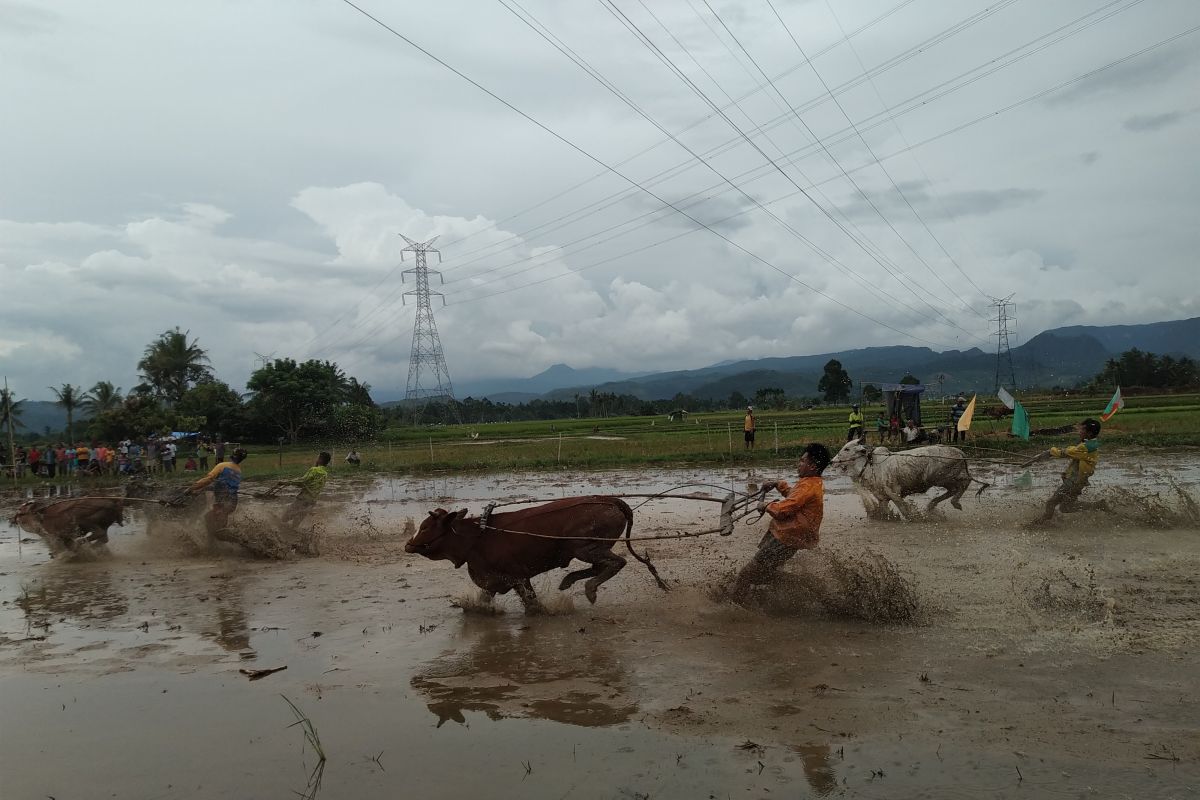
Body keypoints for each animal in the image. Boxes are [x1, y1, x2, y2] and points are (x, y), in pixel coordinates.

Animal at [408, 494, 672, 614]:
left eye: (426, 527)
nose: (408, 545)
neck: (477, 537)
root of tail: (610, 499)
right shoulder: (493, 582)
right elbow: (482, 601)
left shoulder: (517, 578)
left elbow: (532, 605)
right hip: (589, 549)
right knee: (602, 566)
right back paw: (569, 581)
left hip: (586, 547)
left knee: (617, 563)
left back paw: (589, 589)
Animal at [830, 441, 988, 522]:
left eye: (847, 448)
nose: (832, 461)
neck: (871, 466)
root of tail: (960, 452)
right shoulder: (882, 498)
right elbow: (885, 512)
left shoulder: (894, 492)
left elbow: (904, 508)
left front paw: (914, 517)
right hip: (944, 479)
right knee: (954, 489)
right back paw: (932, 505)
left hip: (944, 477)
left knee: (965, 483)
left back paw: (954, 503)